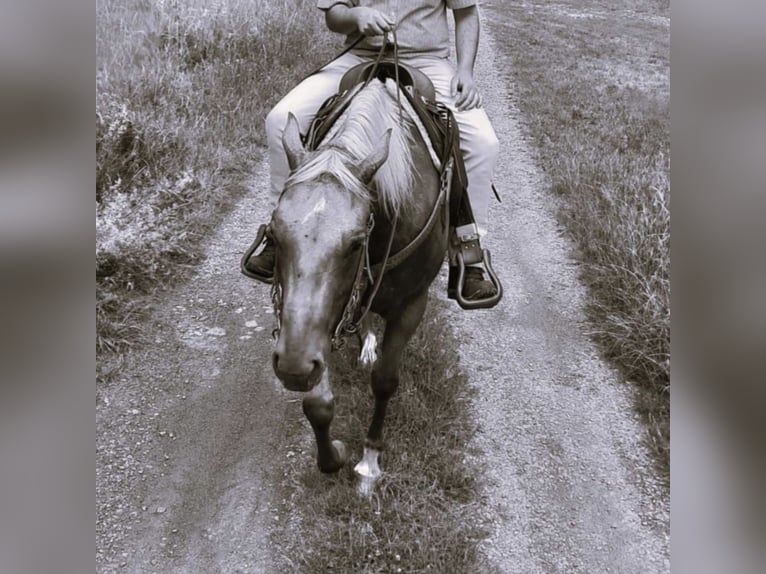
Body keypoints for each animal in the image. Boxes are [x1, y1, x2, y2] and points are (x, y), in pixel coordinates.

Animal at [270, 79, 450, 498]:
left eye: (355, 244)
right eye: (273, 235)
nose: (292, 368)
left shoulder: (412, 305)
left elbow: (384, 381)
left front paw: (369, 460)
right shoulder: (313, 322)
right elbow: (318, 404)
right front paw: (332, 455)